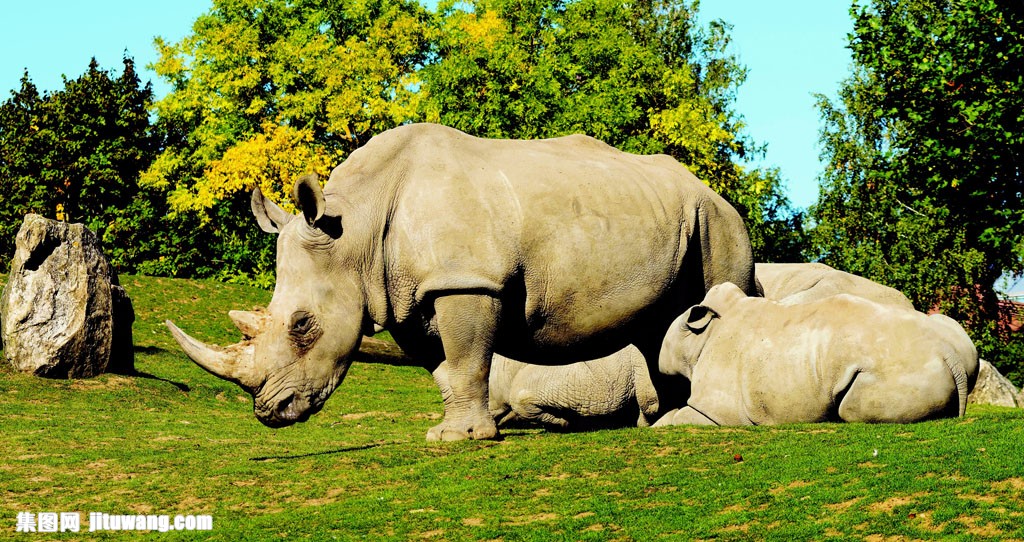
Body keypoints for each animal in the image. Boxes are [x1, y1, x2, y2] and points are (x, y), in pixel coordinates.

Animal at [169, 122, 761, 438]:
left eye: (302, 325)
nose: (268, 413)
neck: (355, 227)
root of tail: (709, 188)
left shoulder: (467, 280)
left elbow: (468, 356)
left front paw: (464, 437)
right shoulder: (409, 293)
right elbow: (447, 368)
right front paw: (448, 433)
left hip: (719, 220)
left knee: (707, 303)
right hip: (673, 215)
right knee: (659, 327)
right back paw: (663, 421)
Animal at [651, 280, 978, 424]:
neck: (703, 336)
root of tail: (948, 356)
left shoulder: (714, 412)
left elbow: (675, 420)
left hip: (902, 368)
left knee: (852, 410)